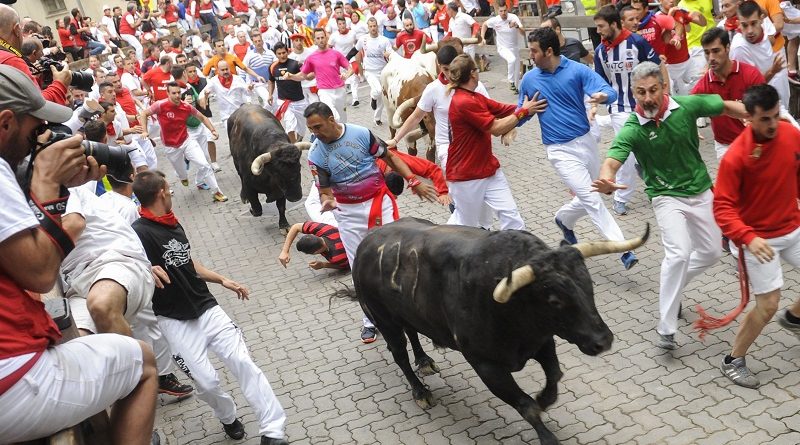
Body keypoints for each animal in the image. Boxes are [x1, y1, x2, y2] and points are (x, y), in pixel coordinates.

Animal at [350, 218, 648, 444]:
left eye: (589, 284)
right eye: (554, 299)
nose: (603, 341)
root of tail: (368, 241)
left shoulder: (542, 340)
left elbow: (554, 375)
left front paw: (544, 399)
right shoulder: (486, 364)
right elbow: (525, 405)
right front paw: (547, 435)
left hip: (407, 313)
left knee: (413, 333)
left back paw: (424, 361)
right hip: (384, 319)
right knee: (399, 355)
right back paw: (421, 392)